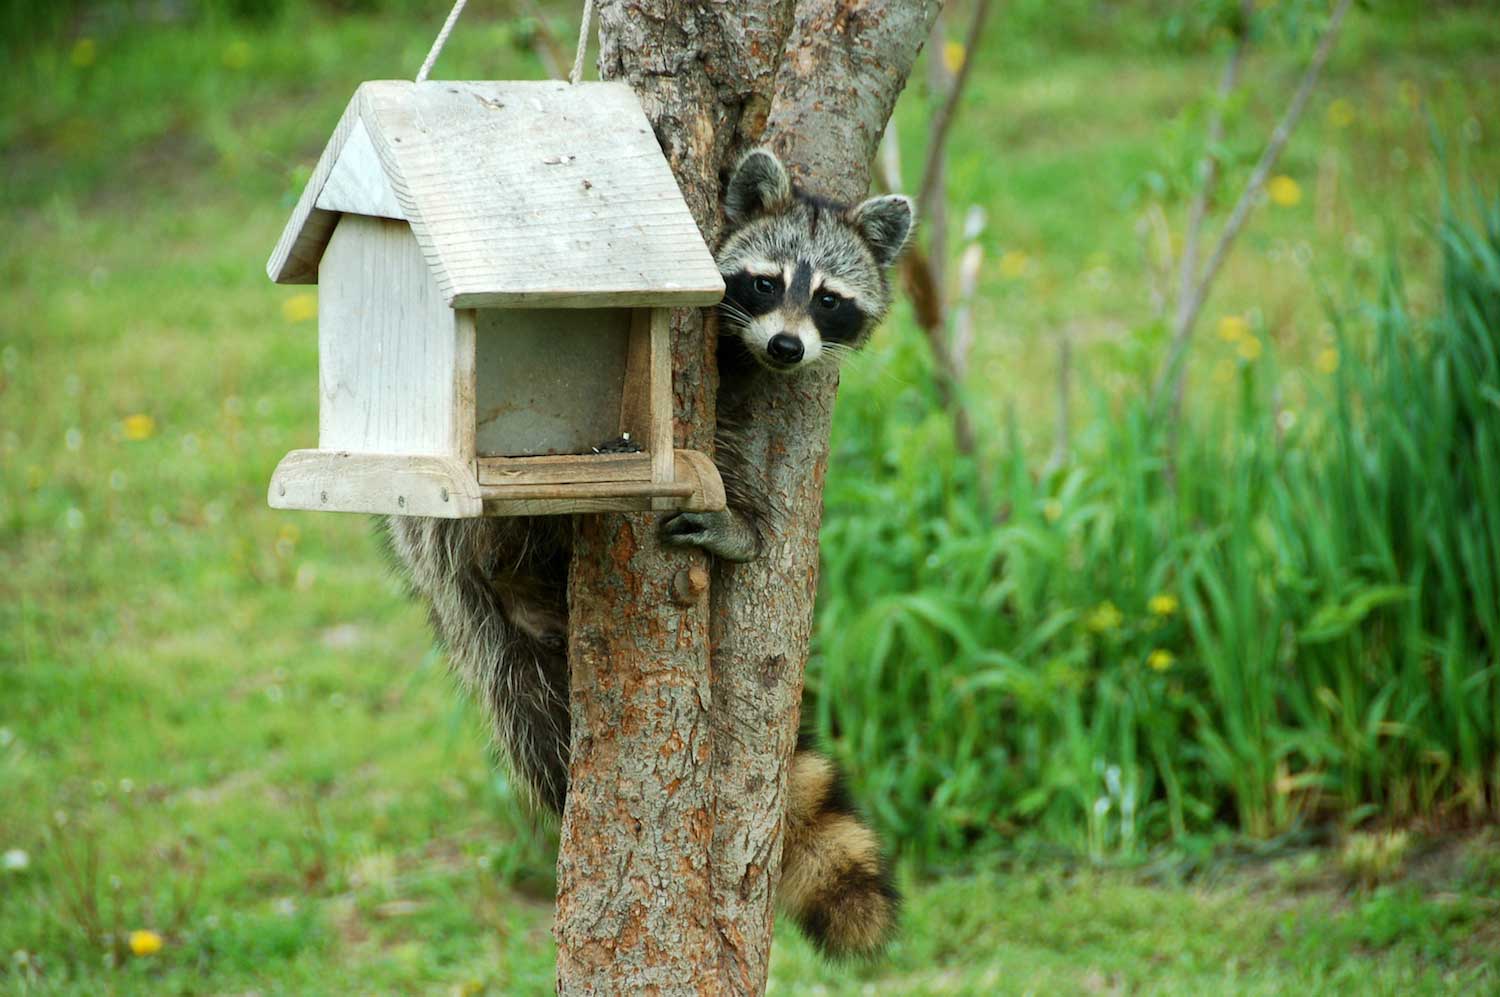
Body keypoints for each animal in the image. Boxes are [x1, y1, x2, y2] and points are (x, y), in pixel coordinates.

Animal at [381, 149, 906, 959]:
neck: (745, 350)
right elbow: (711, 441)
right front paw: (737, 511)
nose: (787, 346)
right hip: (455, 541)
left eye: (829, 300)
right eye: (766, 282)